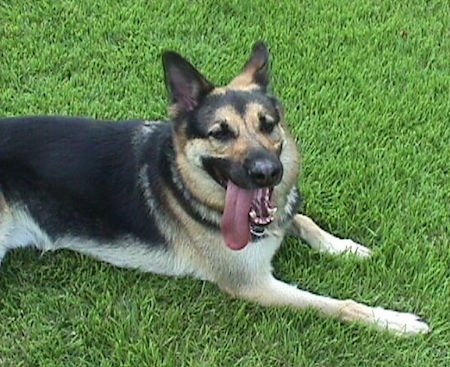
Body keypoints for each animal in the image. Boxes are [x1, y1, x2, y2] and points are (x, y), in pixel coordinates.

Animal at [0, 41, 428, 336]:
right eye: (220, 133)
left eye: (268, 124)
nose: (268, 173)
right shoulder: (253, 284)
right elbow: (340, 305)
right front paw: (395, 322)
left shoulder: (279, 216)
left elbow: (304, 219)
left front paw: (346, 248)